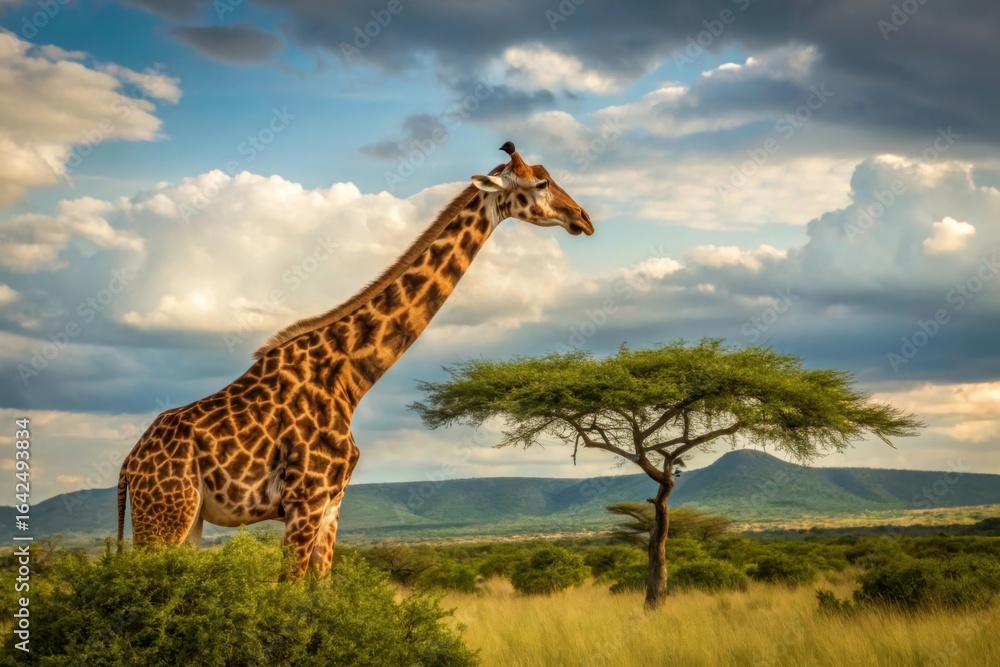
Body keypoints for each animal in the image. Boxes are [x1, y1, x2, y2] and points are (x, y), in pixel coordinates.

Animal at [117, 142, 594, 576]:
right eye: (540, 183)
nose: (583, 218)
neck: (349, 376)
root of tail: (128, 467)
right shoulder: (305, 499)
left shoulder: (332, 502)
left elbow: (320, 590)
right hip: (166, 513)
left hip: (190, 520)